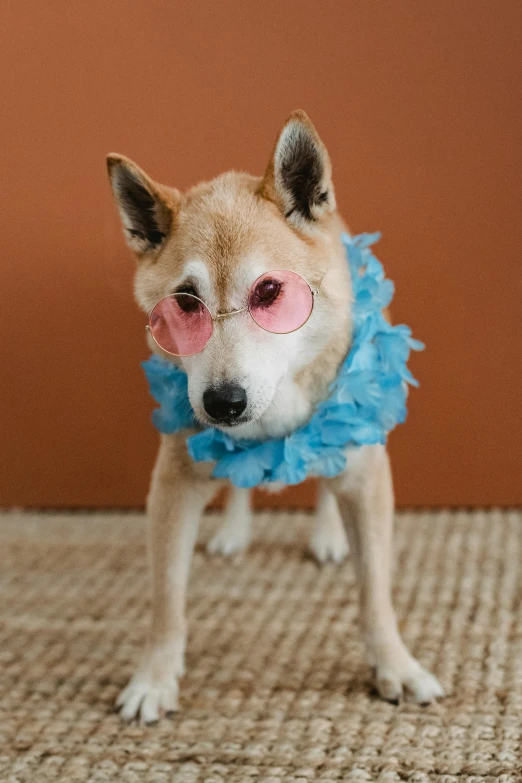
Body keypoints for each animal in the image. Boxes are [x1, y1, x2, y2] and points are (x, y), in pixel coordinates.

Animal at [107, 108, 440, 724]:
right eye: (184, 302)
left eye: (269, 292)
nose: (223, 402)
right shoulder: (172, 485)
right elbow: (167, 602)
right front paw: (155, 678)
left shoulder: (367, 475)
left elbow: (375, 593)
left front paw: (396, 665)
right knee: (241, 479)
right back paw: (235, 531)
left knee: (323, 476)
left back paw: (327, 534)